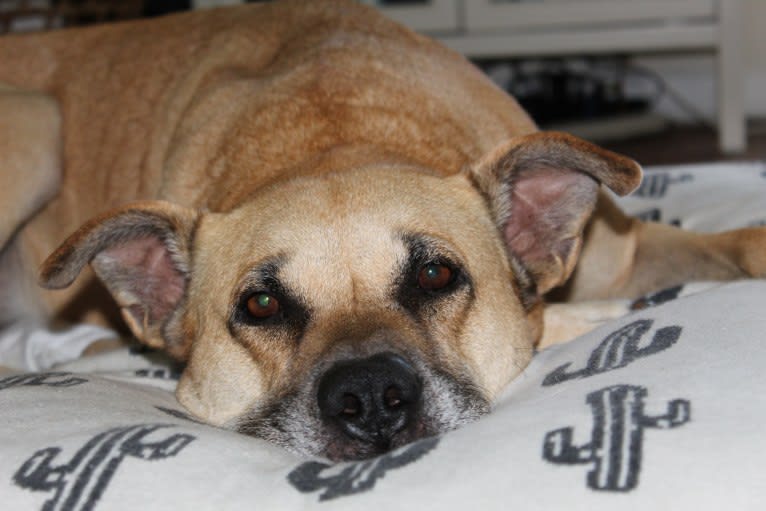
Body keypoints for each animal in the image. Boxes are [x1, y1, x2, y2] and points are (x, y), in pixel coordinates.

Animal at [1, 1, 766, 464]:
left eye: (436, 274)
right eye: (261, 305)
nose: (369, 397)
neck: (332, 134)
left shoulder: (627, 252)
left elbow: (738, 245)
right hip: (35, 125)